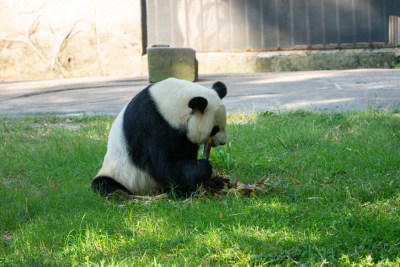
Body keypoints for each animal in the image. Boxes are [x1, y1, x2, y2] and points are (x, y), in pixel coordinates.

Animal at [91, 77, 228, 197]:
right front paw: (202, 170)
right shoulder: (152, 123)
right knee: (103, 184)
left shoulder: (183, 135)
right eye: (214, 129)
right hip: (118, 173)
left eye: (224, 124)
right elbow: (163, 163)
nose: (223, 142)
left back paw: (217, 182)